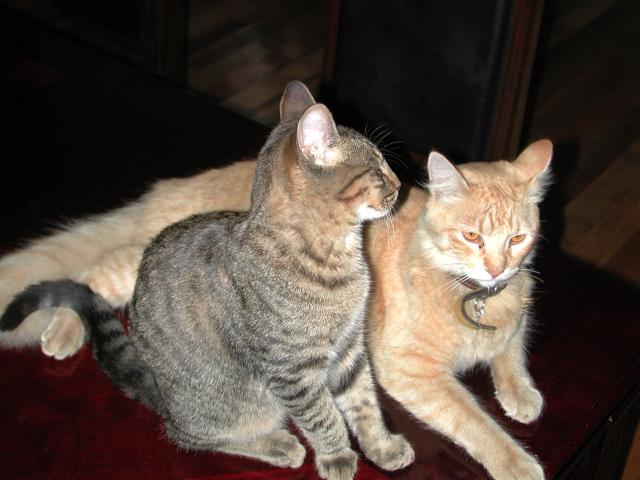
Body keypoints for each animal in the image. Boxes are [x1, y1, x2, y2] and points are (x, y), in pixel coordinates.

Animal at [1, 80, 415, 480]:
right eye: (378, 169)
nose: (400, 182)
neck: (334, 257)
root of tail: (156, 388)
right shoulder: (292, 370)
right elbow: (323, 417)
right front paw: (337, 457)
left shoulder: (349, 350)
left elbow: (364, 403)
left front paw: (382, 446)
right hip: (230, 408)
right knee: (189, 435)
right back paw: (277, 443)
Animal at [366, 141, 552, 480]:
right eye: (472, 236)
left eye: (517, 238)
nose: (496, 270)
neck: (477, 297)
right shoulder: (410, 369)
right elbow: (473, 421)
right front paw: (515, 461)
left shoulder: (518, 314)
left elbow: (512, 352)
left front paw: (520, 391)